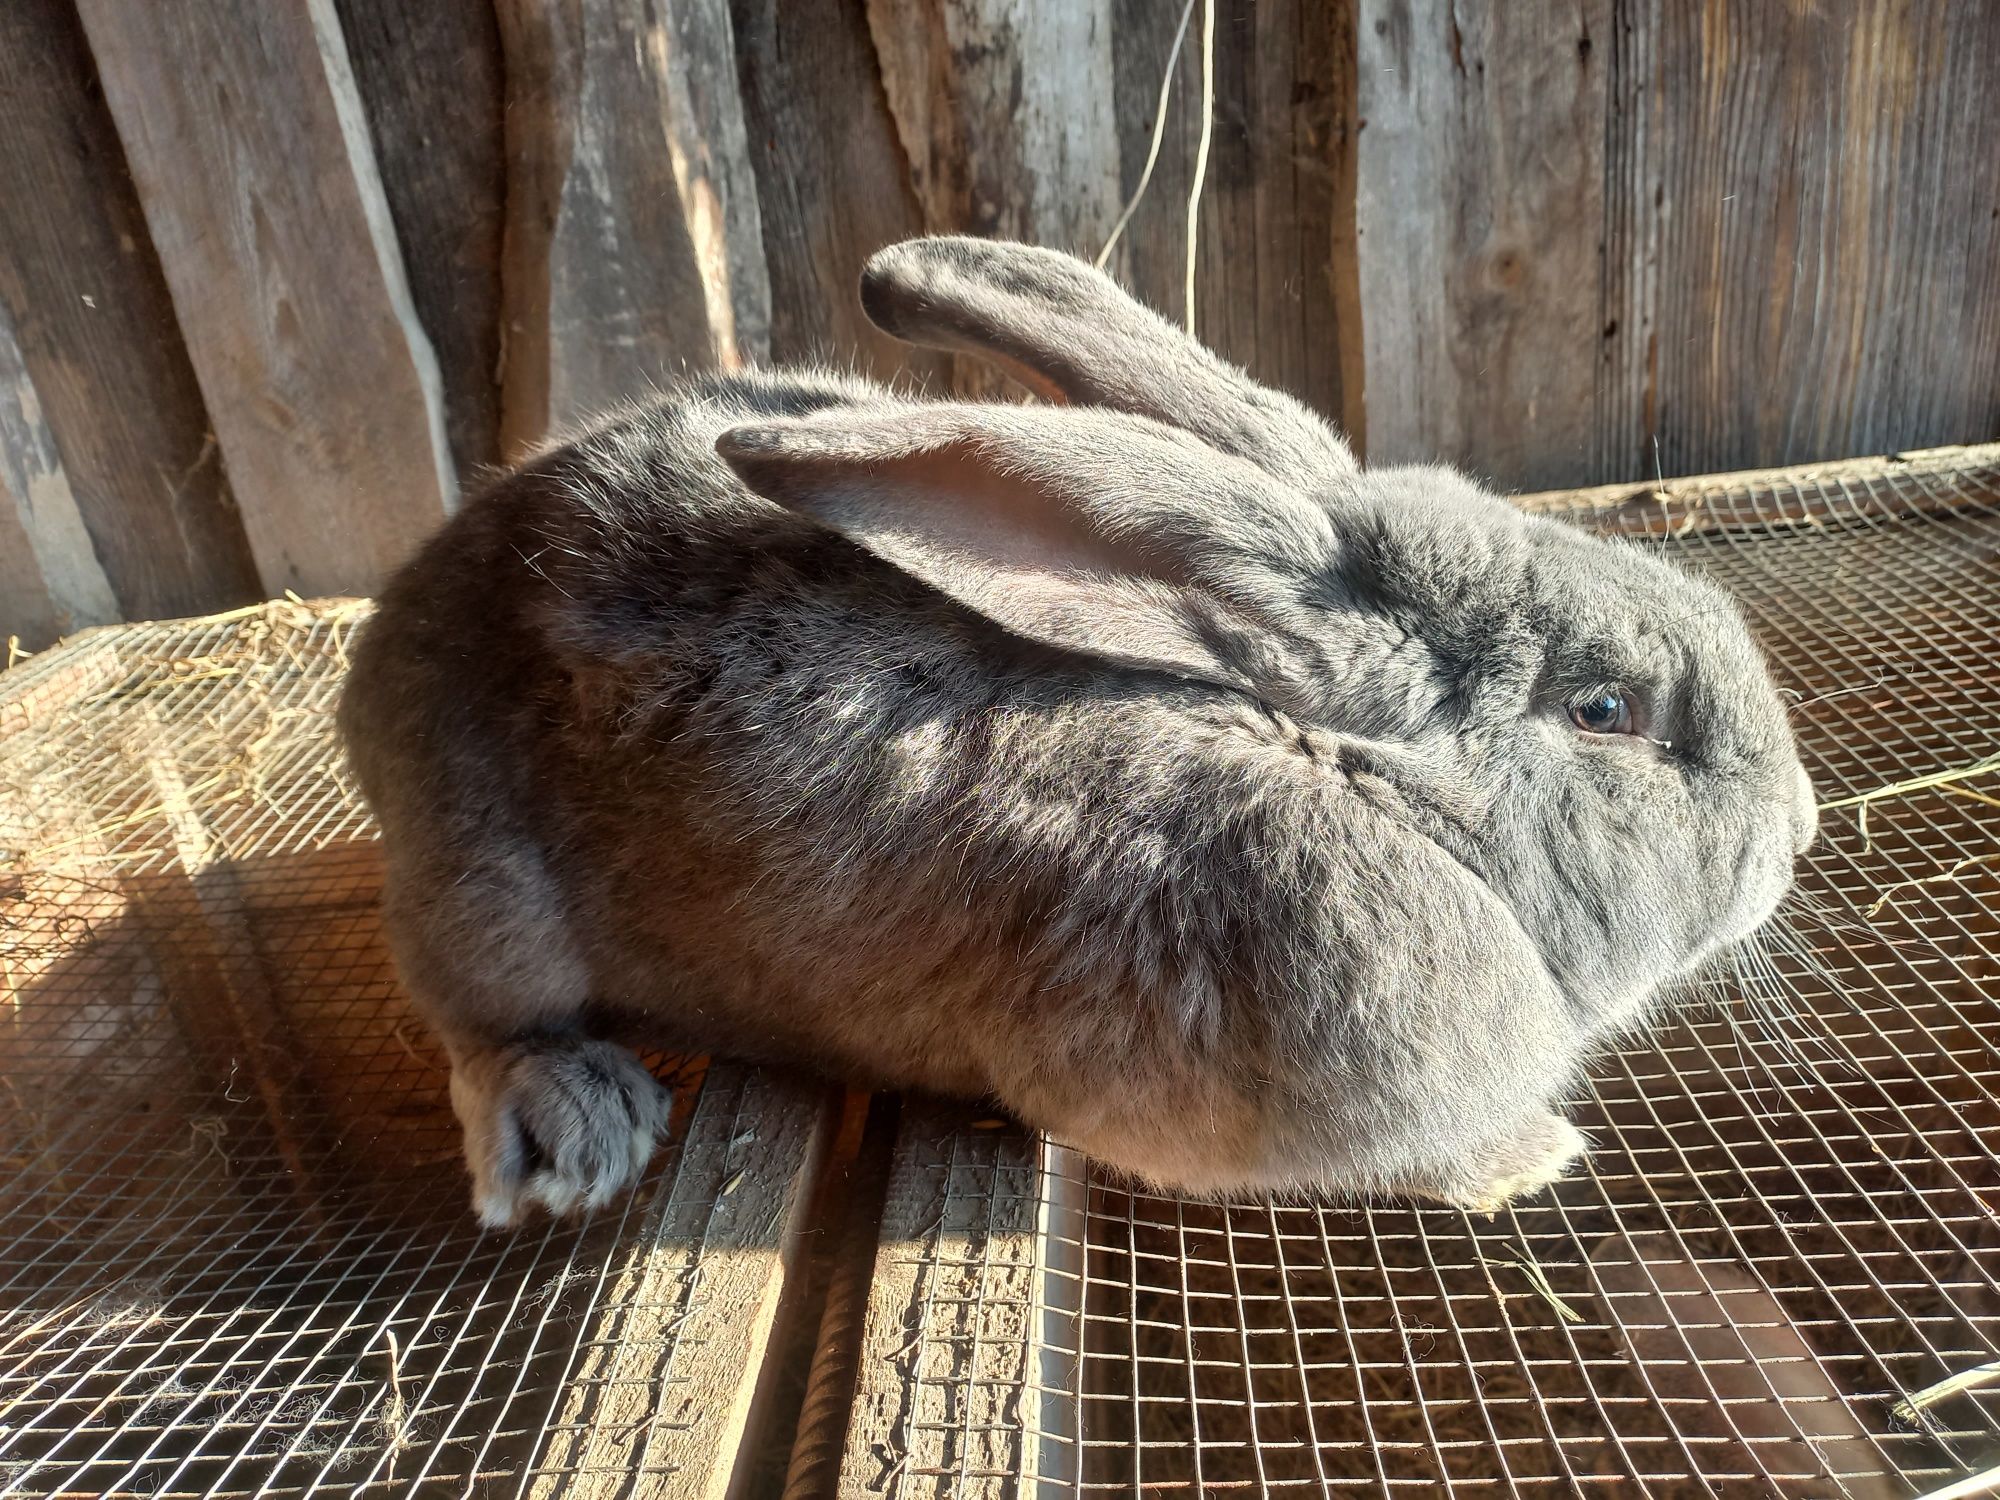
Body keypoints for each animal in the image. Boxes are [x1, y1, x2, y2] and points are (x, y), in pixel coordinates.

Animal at [340, 232, 1816, 1224]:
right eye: (1606, 711)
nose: (1800, 825)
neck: (1350, 780)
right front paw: (1531, 1158)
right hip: (483, 887)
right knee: (478, 1019)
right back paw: (569, 1126)